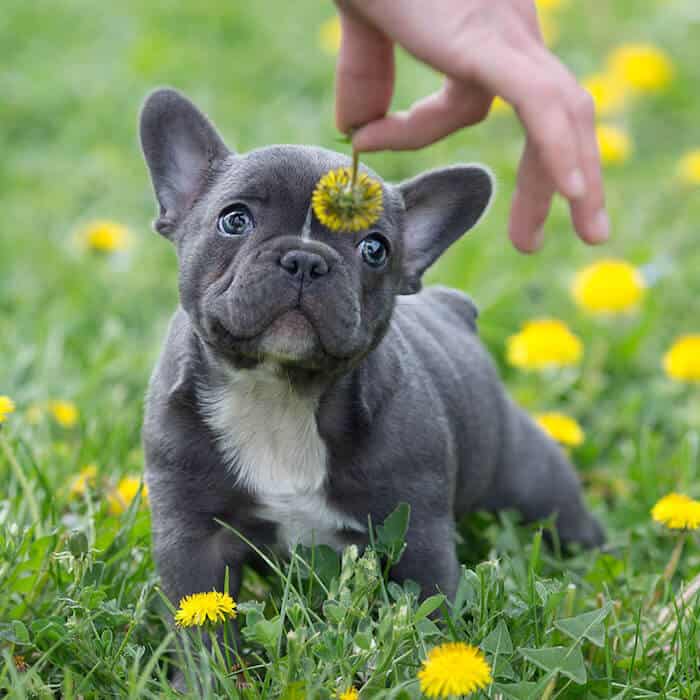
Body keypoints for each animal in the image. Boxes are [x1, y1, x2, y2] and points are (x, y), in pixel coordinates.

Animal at [139, 89, 604, 616]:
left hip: (532, 479)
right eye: (234, 220)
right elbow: (204, 617)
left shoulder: (416, 535)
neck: (279, 393)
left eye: (375, 249)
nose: (305, 259)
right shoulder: (194, 536)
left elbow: (428, 608)